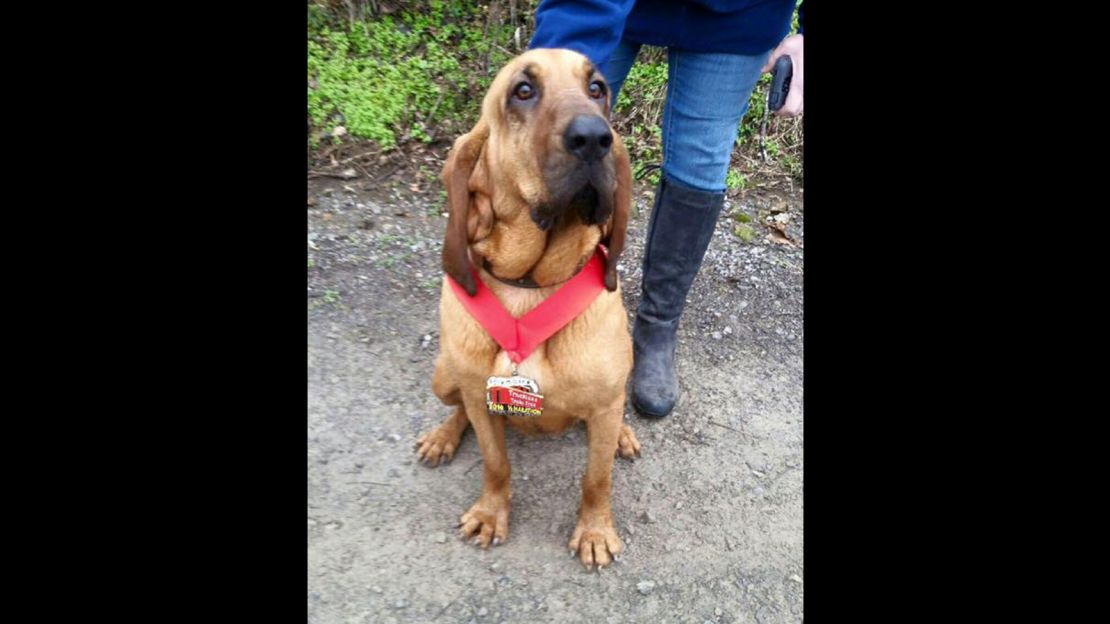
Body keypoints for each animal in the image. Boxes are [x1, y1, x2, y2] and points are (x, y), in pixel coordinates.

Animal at [415, 46, 643, 566]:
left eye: (597, 88)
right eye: (523, 90)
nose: (594, 138)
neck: (530, 284)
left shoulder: (604, 404)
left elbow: (596, 478)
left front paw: (595, 531)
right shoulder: (480, 396)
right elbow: (495, 463)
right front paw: (490, 514)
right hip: (444, 376)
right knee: (459, 409)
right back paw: (442, 436)